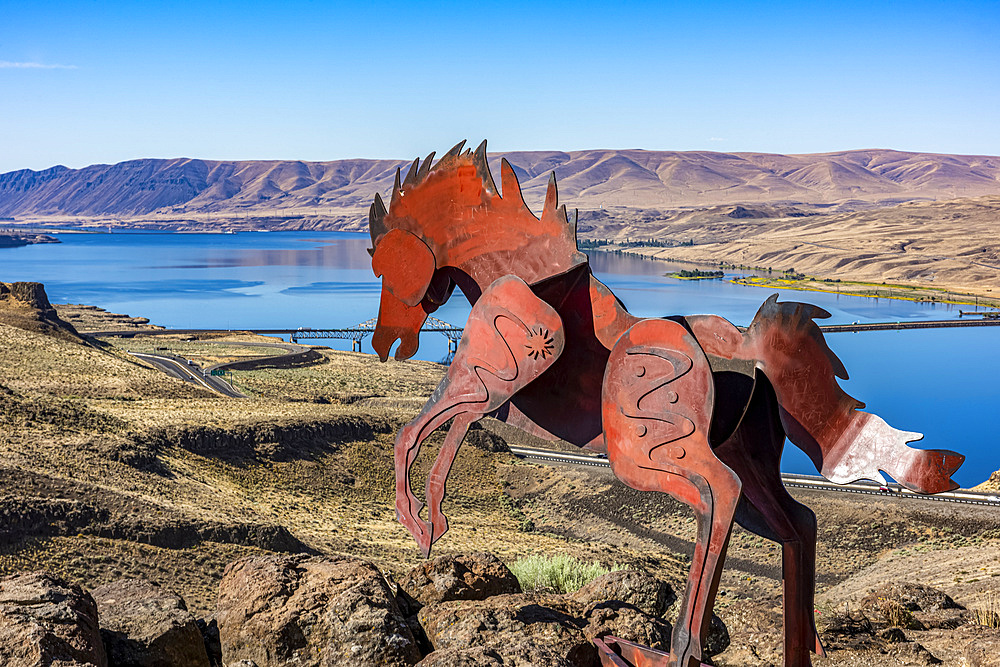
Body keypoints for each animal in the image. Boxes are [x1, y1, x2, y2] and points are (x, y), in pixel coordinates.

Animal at [366, 142, 960, 667]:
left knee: (717, 494)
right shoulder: (490, 393)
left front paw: (418, 521)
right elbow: (447, 430)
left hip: (649, 454)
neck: (519, 266)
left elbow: (416, 429)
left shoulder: (487, 376)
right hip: (749, 462)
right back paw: (783, 647)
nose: (385, 343)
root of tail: (750, 353)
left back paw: (676, 649)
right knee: (798, 522)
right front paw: (431, 522)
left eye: (387, 270)